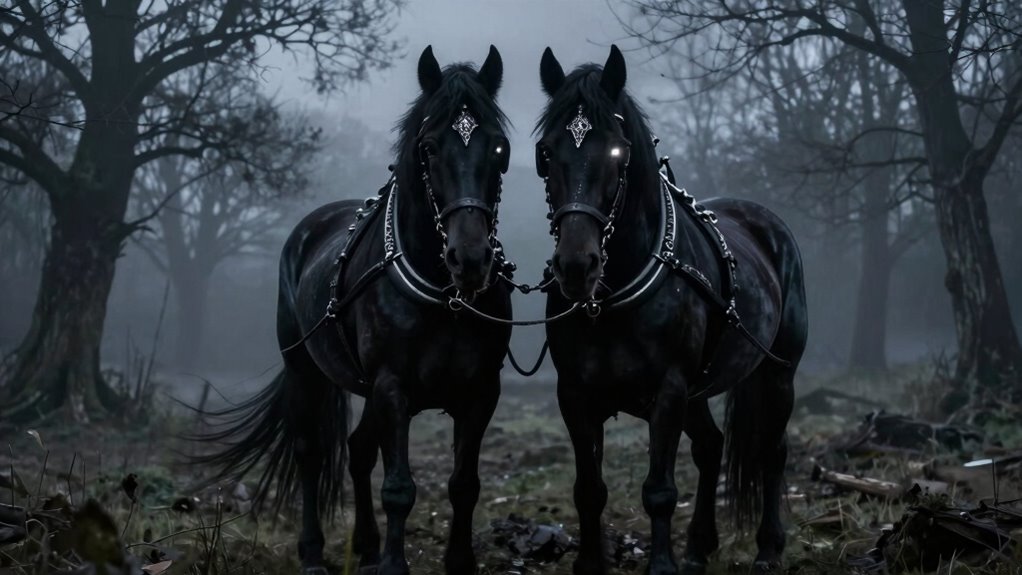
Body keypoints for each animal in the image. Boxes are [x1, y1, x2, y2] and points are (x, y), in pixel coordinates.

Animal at [197, 45, 514, 575]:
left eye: (499, 149)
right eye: (429, 148)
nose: (470, 259)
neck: (443, 295)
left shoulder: (480, 392)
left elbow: (464, 485)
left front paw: (457, 561)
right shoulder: (392, 386)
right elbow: (399, 487)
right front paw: (393, 563)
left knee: (358, 449)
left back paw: (365, 544)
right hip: (304, 368)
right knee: (310, 453)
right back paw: (313, 552)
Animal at [534, 46, 808, 575]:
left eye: (617, 153)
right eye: (545, 153)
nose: (576, 266)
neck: (610, 299)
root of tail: (767, 223)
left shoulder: (668, 389)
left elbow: (659, 490)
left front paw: (662, 564)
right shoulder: (574, 394)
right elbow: (589, 489)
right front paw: (590, 562)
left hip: (776, 373)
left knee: (772, 450)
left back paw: (768, 547)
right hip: (700, 390)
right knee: (710, 447)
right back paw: (700, 546)